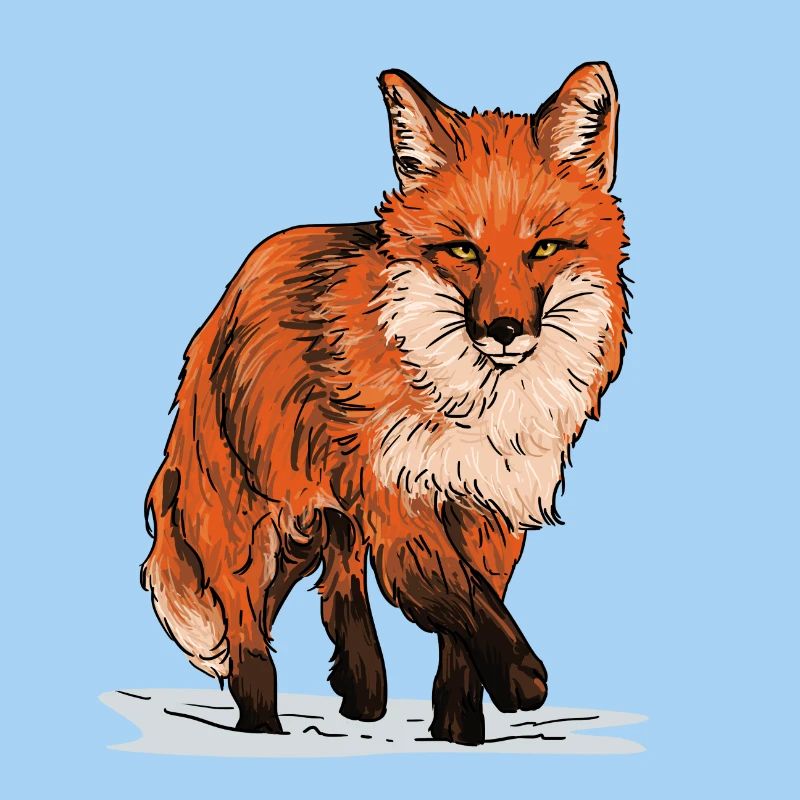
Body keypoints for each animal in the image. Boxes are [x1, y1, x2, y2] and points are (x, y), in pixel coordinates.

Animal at [141, 62, 630, 746]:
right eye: (463, 250)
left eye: (543, 249)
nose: (505, 330)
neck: (472, 407)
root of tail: (228, 293)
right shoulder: (401, 501)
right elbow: (466, 603)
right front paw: (523, 681)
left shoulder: (490, 511)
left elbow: (466, 635)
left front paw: (459, 733)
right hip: (257, 521)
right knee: (248, 630)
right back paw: (263, 727)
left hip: (324, 517)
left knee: (336, 589)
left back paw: (362, 694)